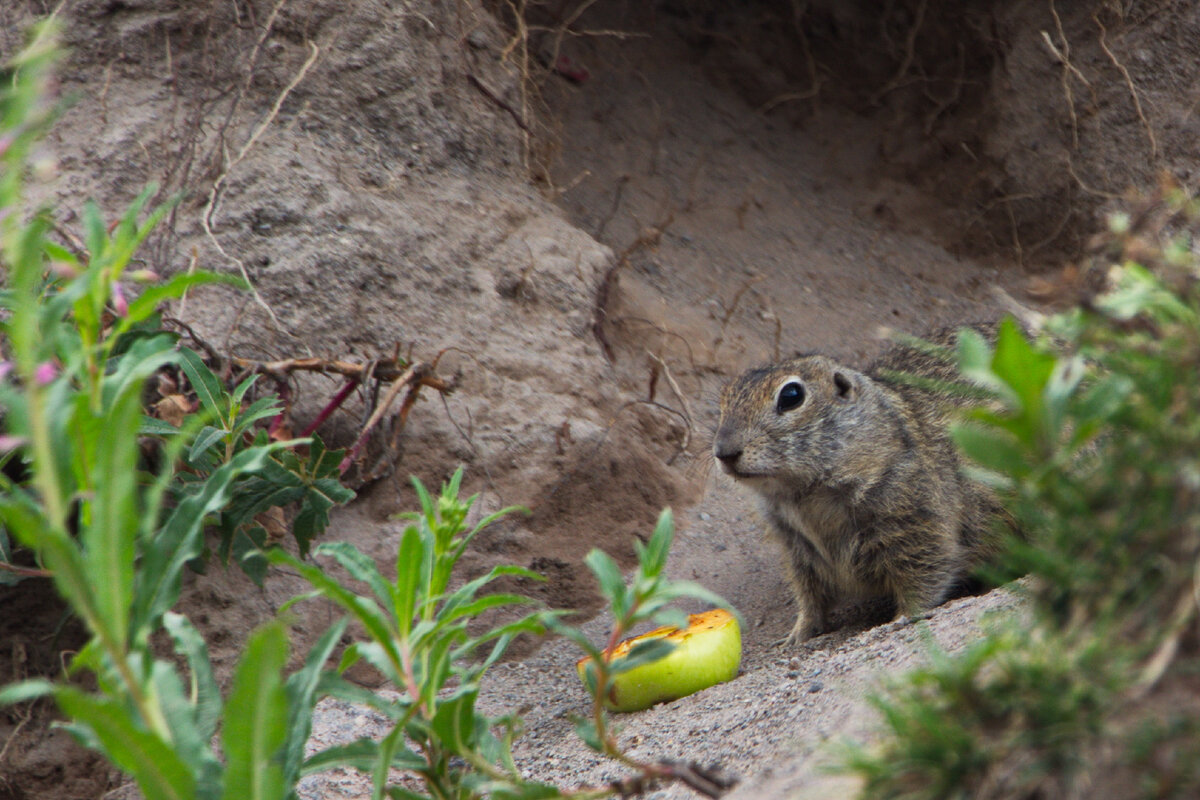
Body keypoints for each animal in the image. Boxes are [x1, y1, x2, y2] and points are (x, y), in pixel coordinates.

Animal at [710, 326, 1012, 642]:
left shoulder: (916, 520)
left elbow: (924, 573)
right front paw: (798, 634)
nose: (724, 452)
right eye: (724, 399)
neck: (806, 495)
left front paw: (902, 617)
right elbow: (809, 595)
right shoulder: (796, 549)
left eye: (791, 396)